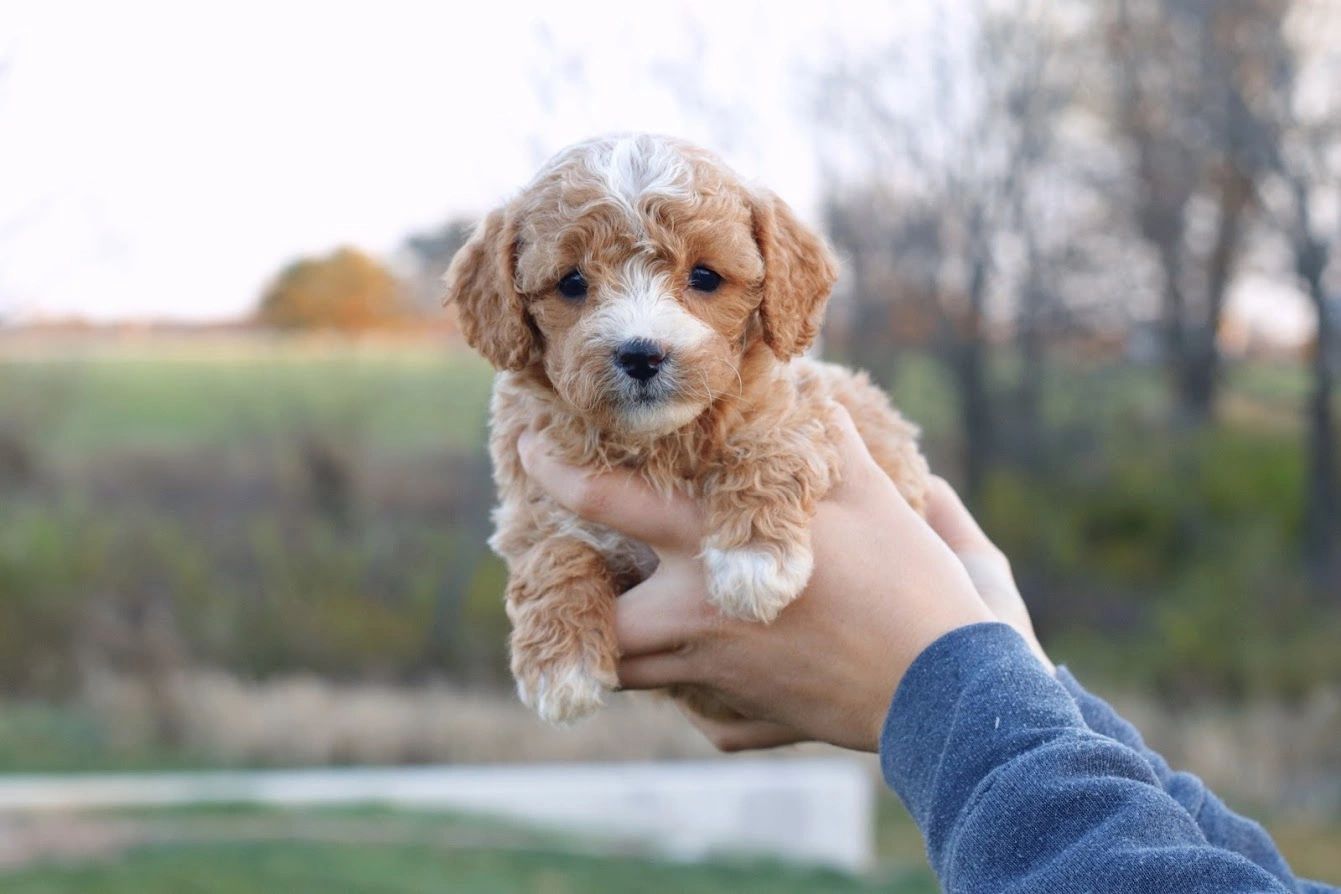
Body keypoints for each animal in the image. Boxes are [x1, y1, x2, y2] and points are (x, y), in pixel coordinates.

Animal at [445, 134, 927, 729]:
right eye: (572, 283)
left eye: (704, 277)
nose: (641, 354)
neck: (653, 442)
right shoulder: (529, 501)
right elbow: (552, 551)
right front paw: (560, 667)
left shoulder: (808, 408)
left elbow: (772, 443)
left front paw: (753, 560)